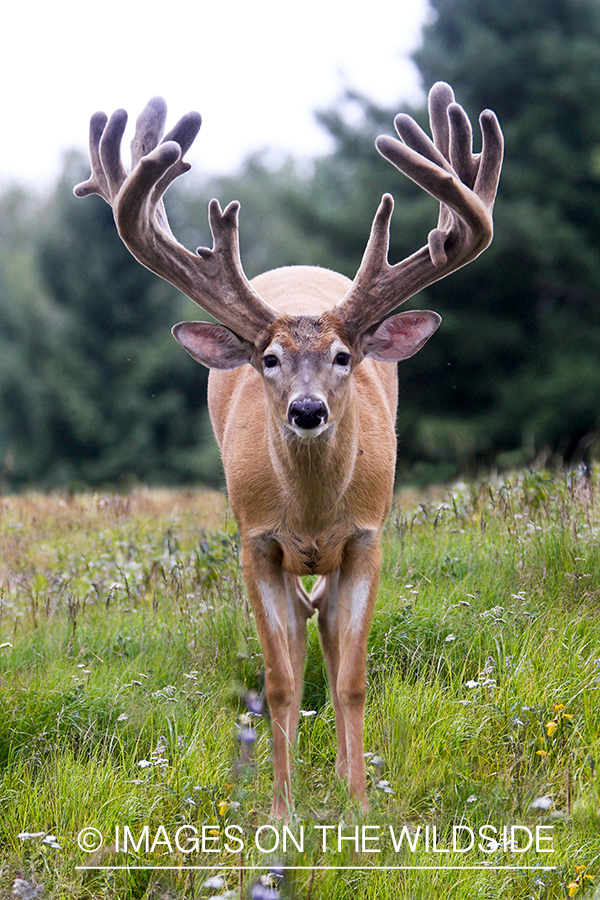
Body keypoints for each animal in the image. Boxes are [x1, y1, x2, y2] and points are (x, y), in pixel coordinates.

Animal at [77, 84, 504, 816]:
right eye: (269, 358)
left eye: (342, 356)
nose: (307, 411)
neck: (311, 514)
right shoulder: (256, 541)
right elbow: (277, 679)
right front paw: (280, 810)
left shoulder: (367, 536)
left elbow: (353, 676)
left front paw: (358, 804)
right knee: (302, 642)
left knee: (325, 631)